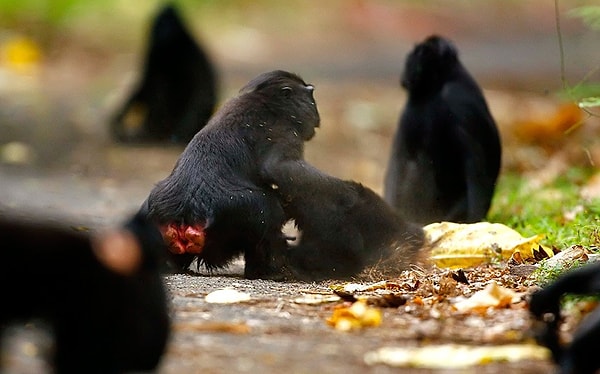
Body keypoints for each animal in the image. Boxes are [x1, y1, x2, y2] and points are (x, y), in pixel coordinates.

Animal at [110, 4, 218, 145]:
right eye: (160, 24)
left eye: (169, 24)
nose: (163, 31)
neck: (169, 53)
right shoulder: (153, 53)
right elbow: (146, 86)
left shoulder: (192, 55)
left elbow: (203, 92)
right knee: (157, 83)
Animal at [141, 70, 322, 280]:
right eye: (310, 94)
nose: (316, 114)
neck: (268, 102)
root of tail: (189, 210)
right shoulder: (282, 130)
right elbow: (280, 168)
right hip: (239, 208)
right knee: (268, 213)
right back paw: (272, 271)